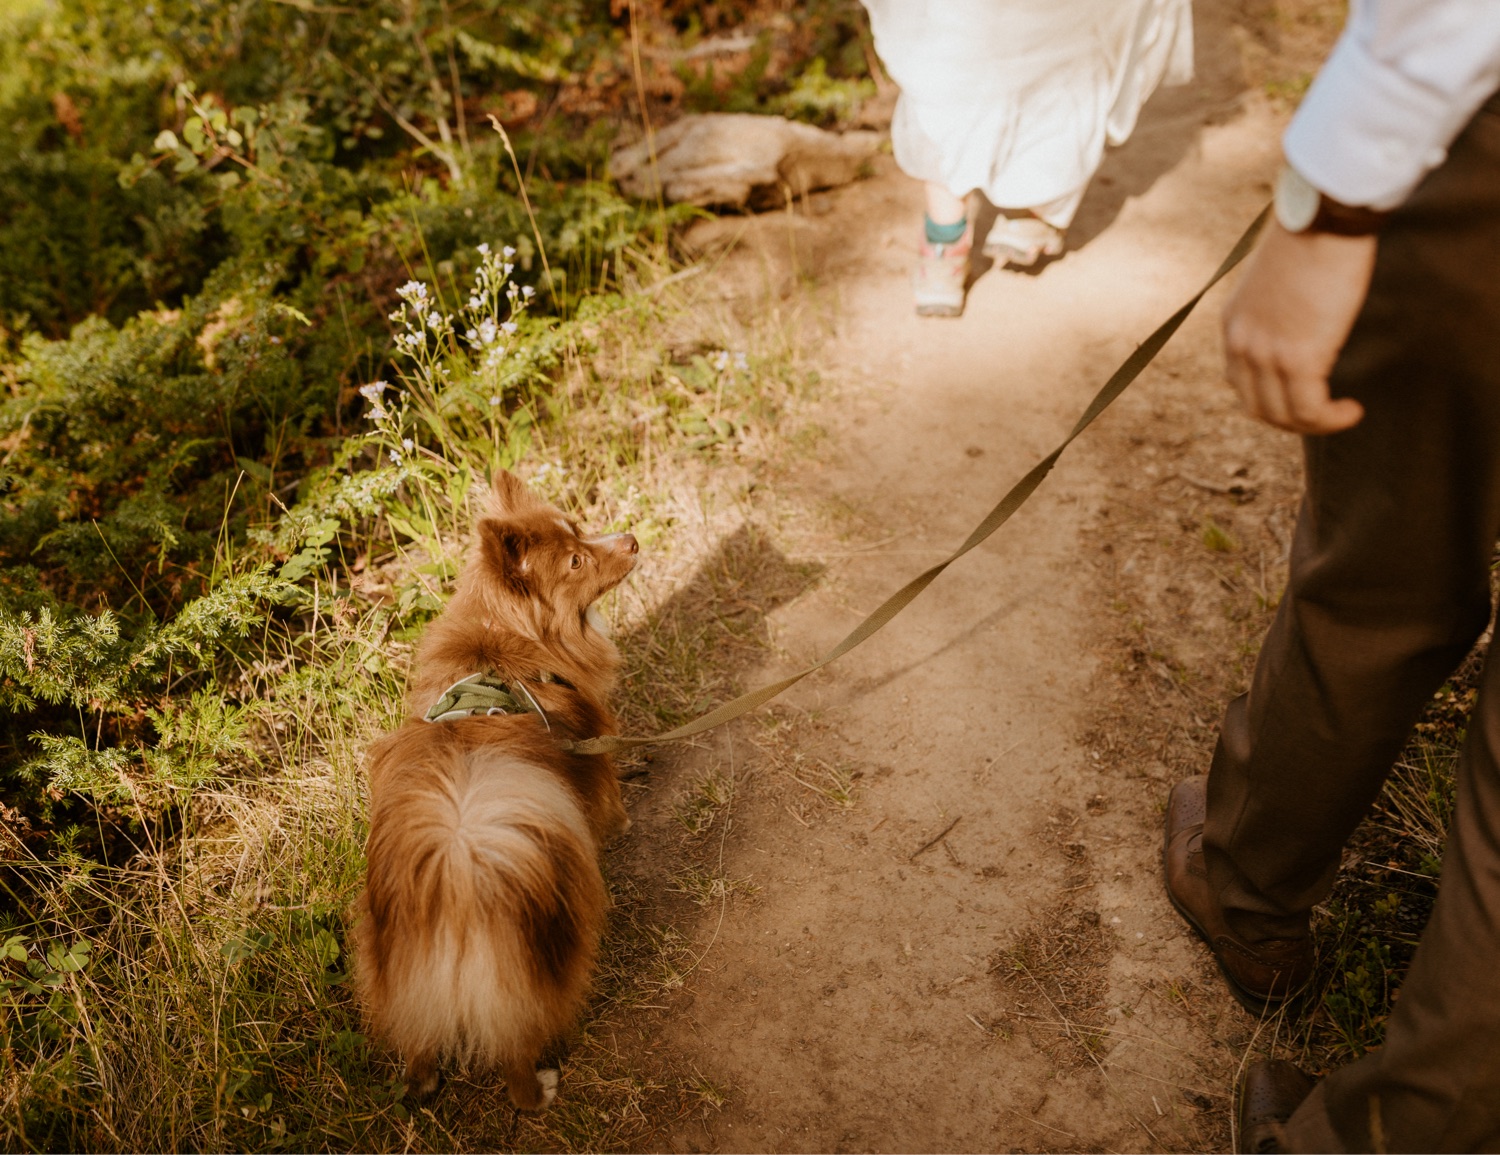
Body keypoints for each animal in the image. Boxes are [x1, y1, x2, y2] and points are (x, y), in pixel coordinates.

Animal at [357, 468, 639, 1104]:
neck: (505, 645)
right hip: (541, 973)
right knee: (517, 1057)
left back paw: (422, 1085)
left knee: (418, 1049)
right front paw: (626, 824)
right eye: (577, 561)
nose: (633, 539)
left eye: (578, 527)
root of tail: (458, 884)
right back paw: (541, 1090)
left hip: (397, 975)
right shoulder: (596, 754)